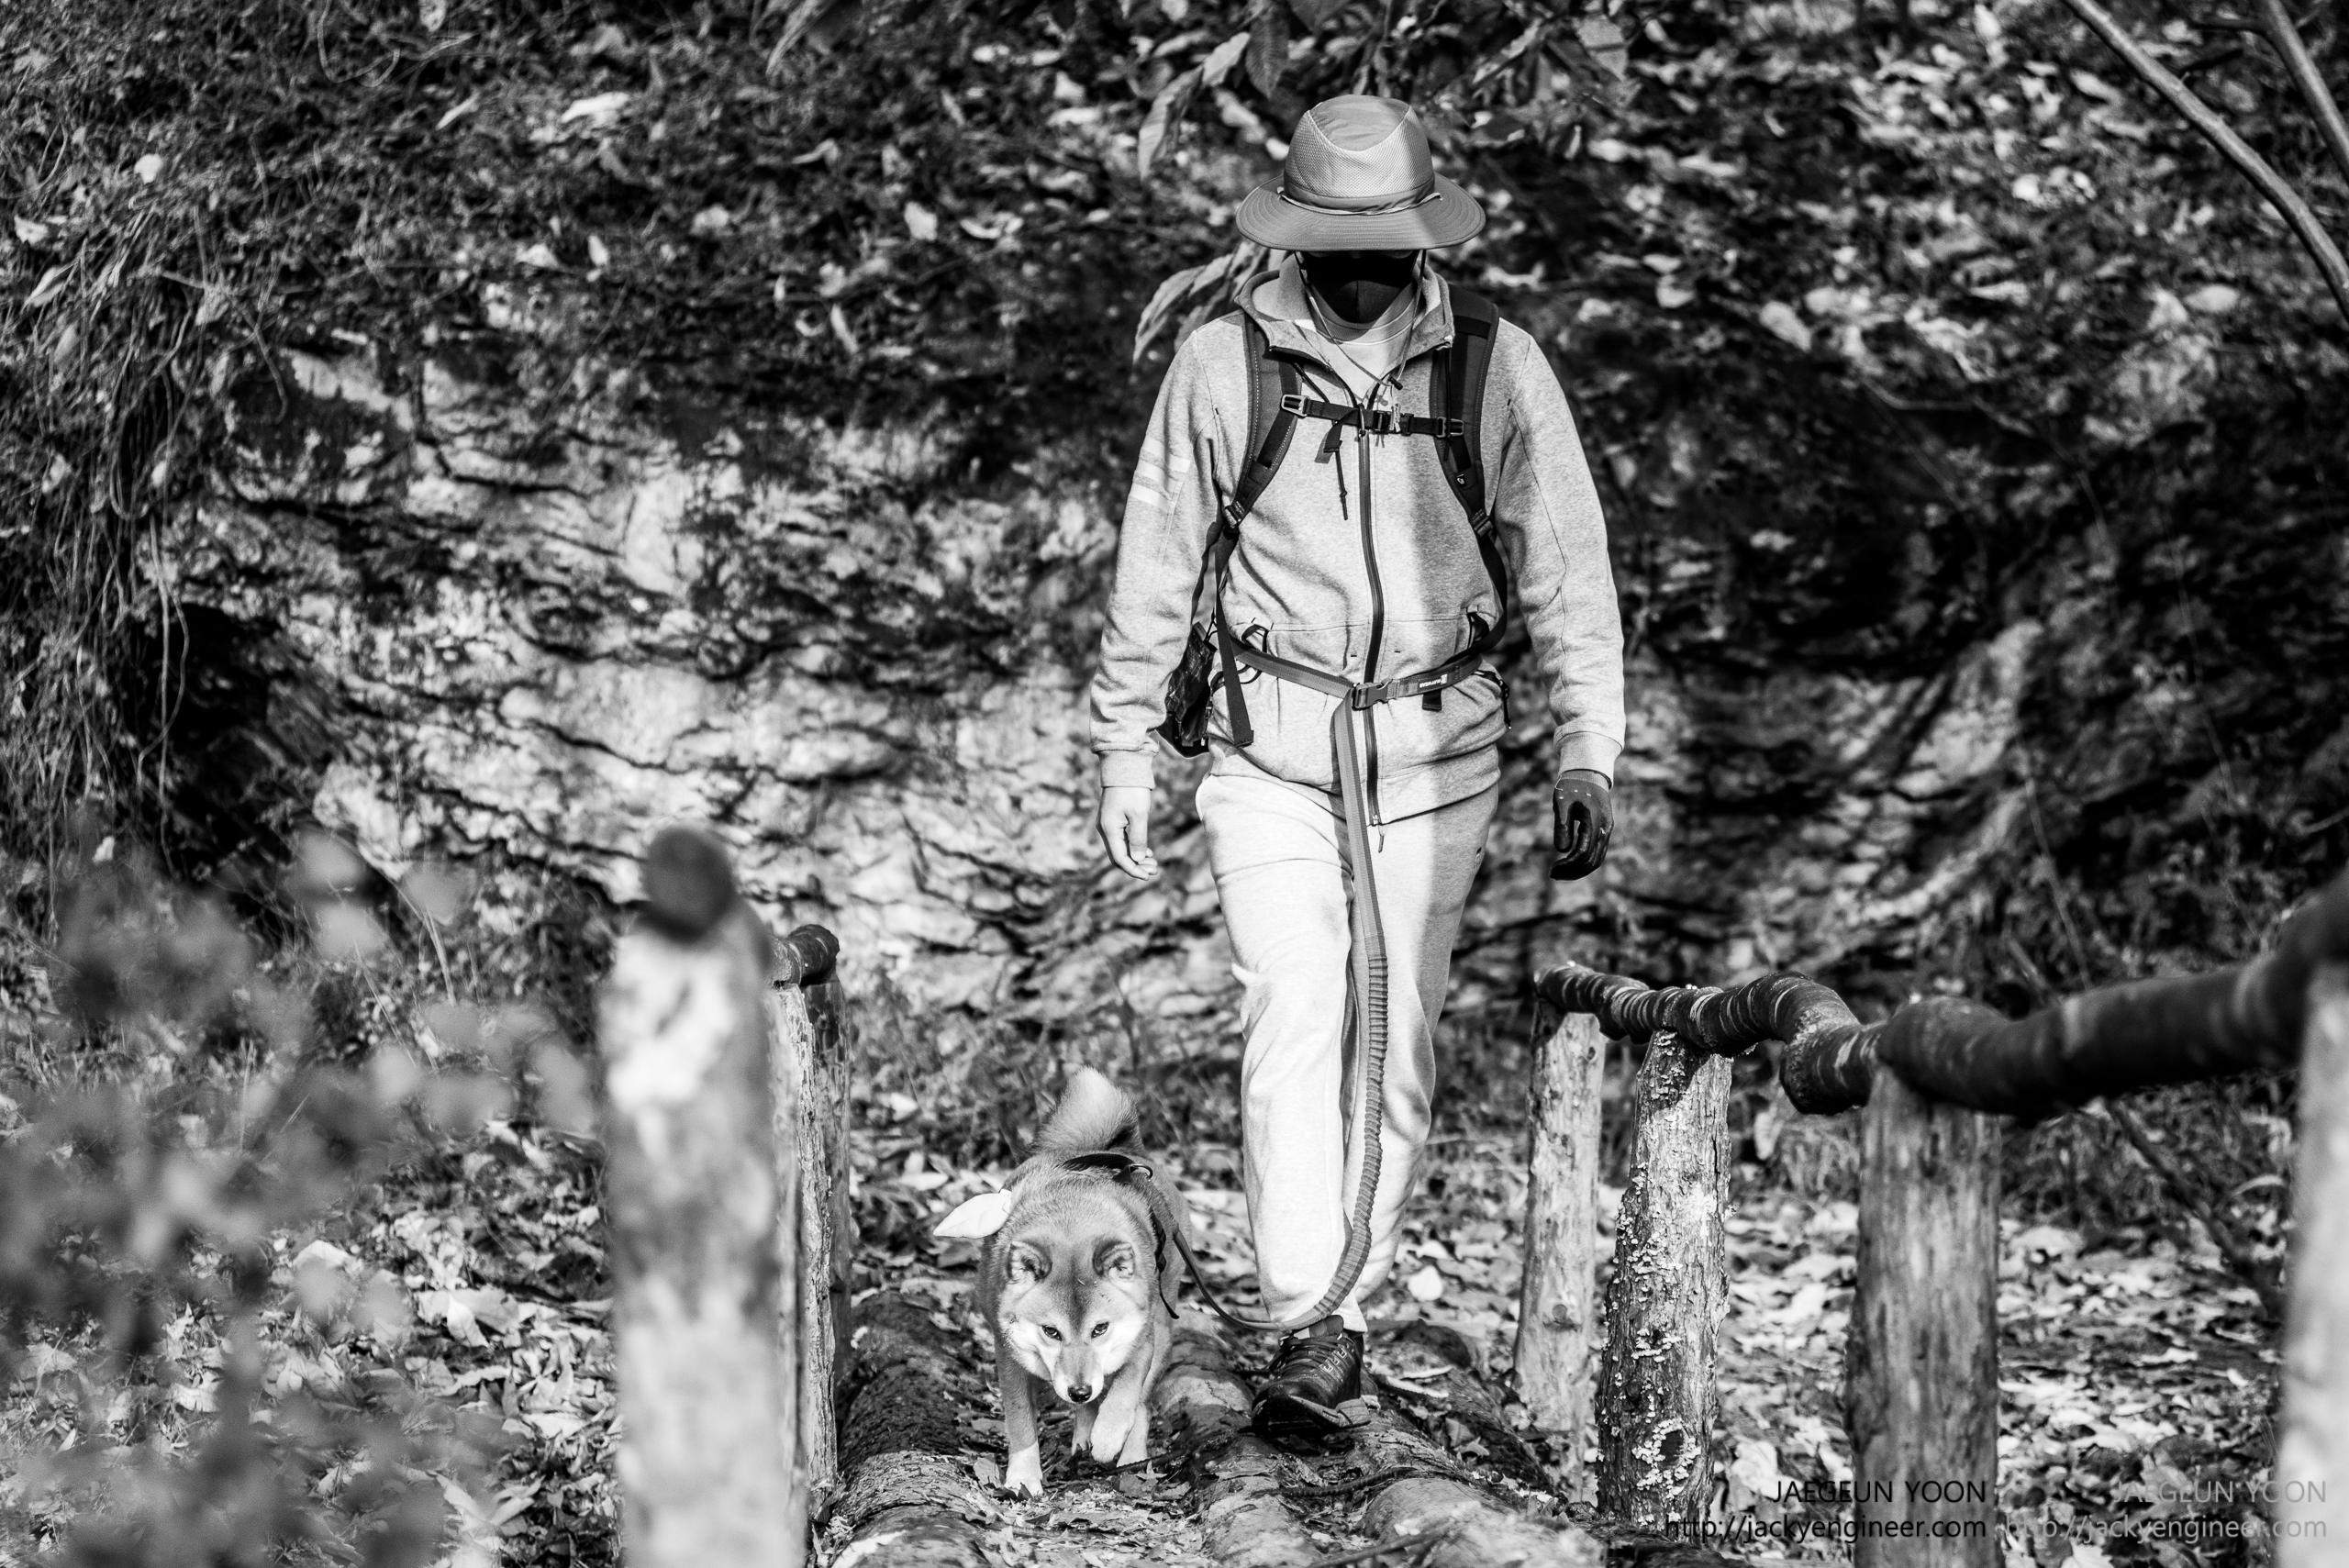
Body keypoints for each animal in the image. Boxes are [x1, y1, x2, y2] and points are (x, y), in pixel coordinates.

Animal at [933, 1068, 1186, 1496]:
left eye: (1100, 1328)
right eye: (1051, 1332)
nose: (1079, 1389)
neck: (1073, 1218)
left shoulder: (1142, 1337)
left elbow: (1126, 1393)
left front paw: (1109, 1436)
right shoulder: (1009, 1356)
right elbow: (1020, 1422)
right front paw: (1023, 1477)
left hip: (1165, 1329)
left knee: (1139, 1403)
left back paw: (1130, 1454)